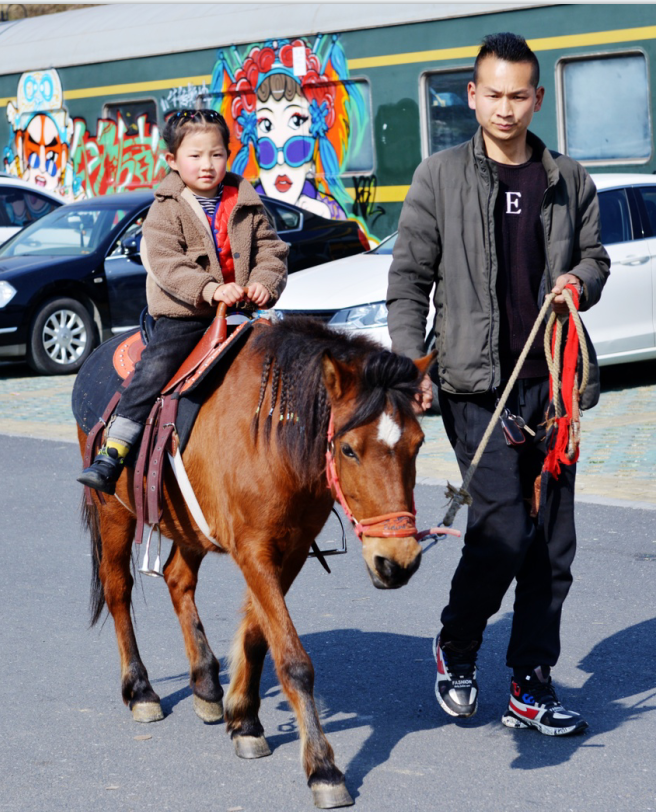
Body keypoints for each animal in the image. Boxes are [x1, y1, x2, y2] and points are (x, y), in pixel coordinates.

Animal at [79, 316, 434, 804]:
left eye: (418, 445)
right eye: (348, 449)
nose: (397, 561)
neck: (273, 435)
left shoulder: (292, 549)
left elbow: (257, 635)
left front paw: (243, 718)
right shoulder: (254, 550)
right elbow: (292, 659)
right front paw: (322, 767)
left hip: (189, 525)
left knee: (177, 579)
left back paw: (205, 684)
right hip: (113, 511)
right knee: (118, 590)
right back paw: (140, 690)